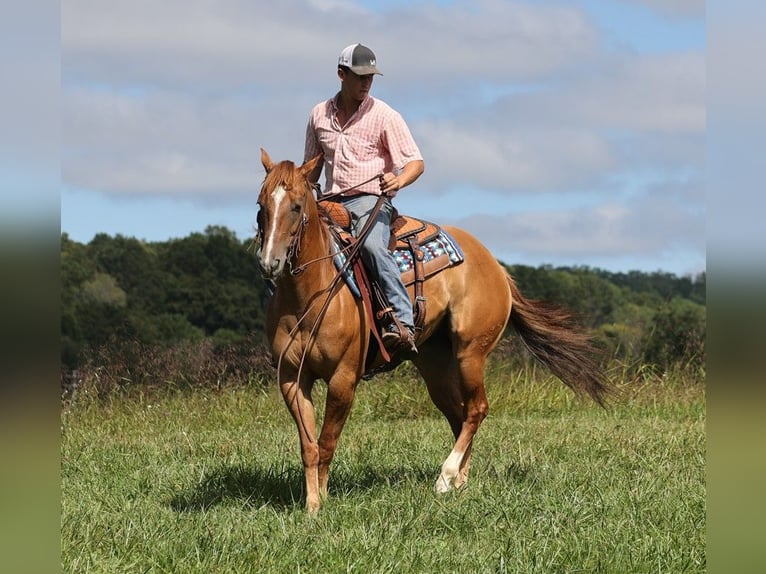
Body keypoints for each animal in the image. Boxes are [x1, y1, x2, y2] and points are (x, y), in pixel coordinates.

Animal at [256, 148, 612, 512]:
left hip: (471, 353)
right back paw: (460, 482)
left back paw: (446, 477)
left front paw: (323, 501)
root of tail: (496, 266)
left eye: (296, 206)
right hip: (434, 365)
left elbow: (327, 441)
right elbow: (309, 446)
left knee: (476, 410)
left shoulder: (343, 378)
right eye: (261, 205)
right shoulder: (292, 378)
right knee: (459, 415)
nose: (269, 262)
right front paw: (312, 503)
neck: (310, 295)